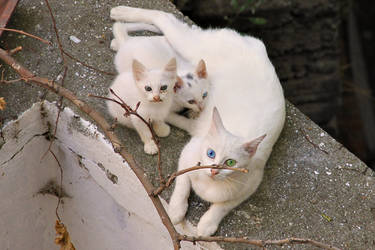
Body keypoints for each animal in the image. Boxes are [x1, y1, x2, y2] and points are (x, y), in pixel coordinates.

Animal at [110, 6, 286, 236]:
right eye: (210, 153)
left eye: (230, 162)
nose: (213, 168)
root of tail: (257, 46)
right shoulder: (187, 154)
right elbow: (182, 184)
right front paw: (176, 212)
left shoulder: (251, 183)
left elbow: (223, 206)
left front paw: (207, 224)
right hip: (191, 43)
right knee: (165, 17)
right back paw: (121, 12)